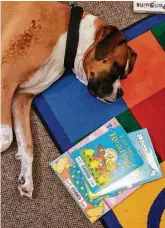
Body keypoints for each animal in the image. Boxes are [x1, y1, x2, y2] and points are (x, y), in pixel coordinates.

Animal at [0, 1, 137, 198]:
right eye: (116, 67)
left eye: (124, 76)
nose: (121, 94)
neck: (72, 37)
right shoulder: (5, 80)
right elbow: (6, 137)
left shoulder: (21, 98)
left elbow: (26, 144)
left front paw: (26, 179)